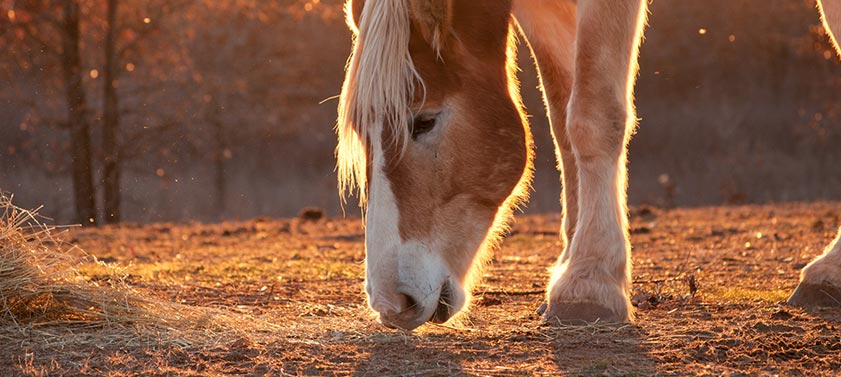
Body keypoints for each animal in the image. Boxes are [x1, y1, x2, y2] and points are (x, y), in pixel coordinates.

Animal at [334, 0, 840, 328]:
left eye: (423, 121)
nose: (391, 302)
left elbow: (591, 116)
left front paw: (588, 282)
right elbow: (563, 117)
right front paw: (570, 260)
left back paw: (827, 273)